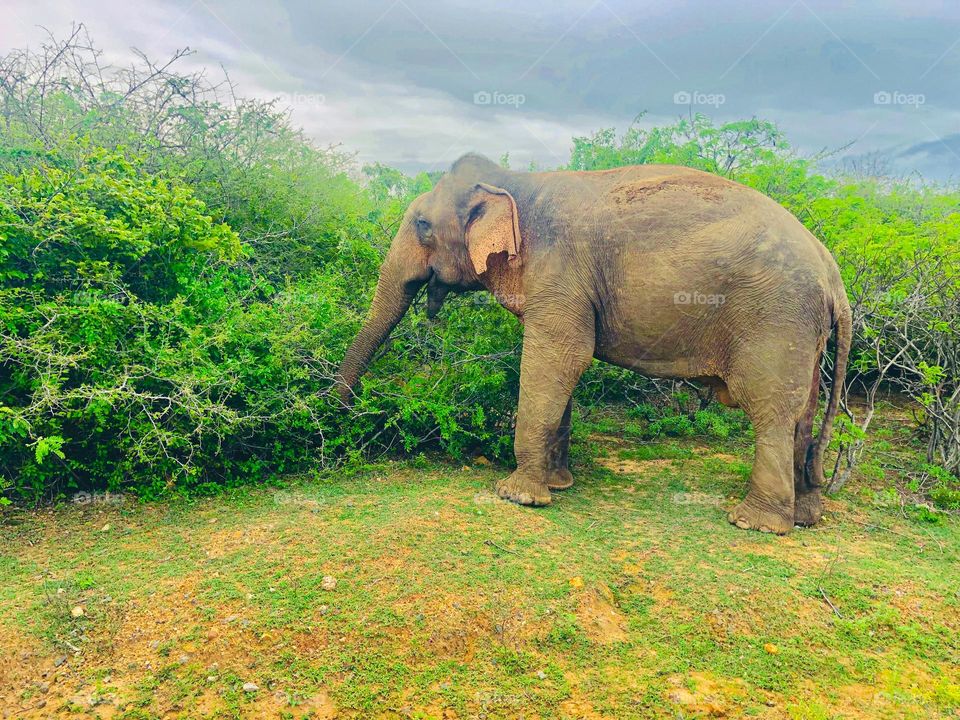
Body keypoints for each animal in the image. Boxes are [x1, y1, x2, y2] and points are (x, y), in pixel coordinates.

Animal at [336, 153, 851, 534]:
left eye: (423, 224)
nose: (338, 416)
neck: (518, 183)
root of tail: (834, 275)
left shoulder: (559, 270)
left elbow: (561, 356)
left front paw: (518, 496)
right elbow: (564, 368)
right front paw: (559, 484)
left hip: (775, 319)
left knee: (770, 411)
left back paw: (755, 524)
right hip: (802, 330)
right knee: (803, 413)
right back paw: (806, 517)